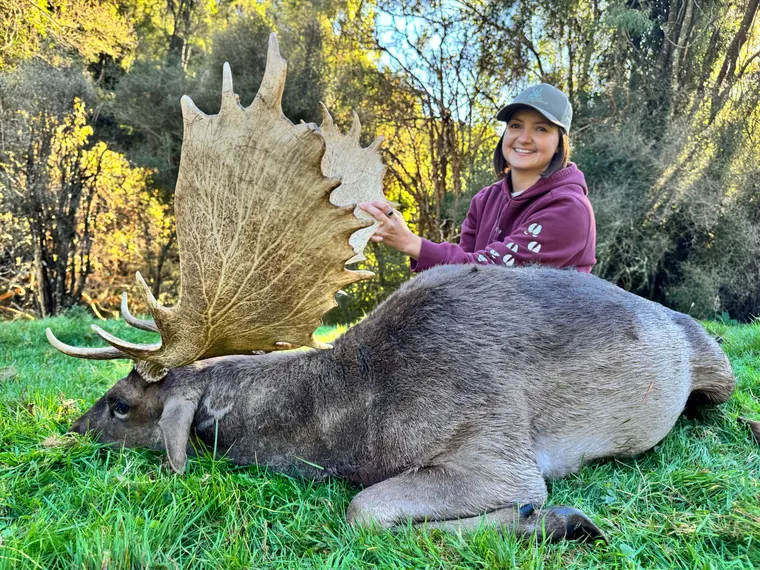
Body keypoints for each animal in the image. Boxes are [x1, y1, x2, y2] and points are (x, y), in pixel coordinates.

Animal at [47, 34, 744, 542]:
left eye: (120, 403)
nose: (70, 428)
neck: (350, 425)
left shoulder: (496, 451)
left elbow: (364, 511)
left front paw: (555, 520)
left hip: (717, 363)